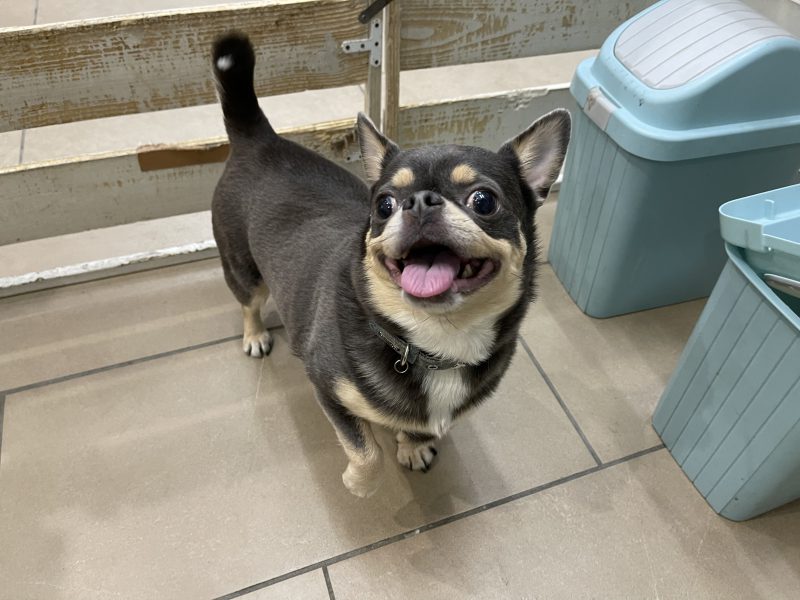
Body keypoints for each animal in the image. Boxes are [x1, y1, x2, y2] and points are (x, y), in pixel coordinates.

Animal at [211, 33, 570, 497]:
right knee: (249, 302)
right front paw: (360, 483)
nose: (420, 201)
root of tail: (259, 139)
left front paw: (413, 447)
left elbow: (418, 427)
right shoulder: (327, 387)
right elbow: (366, 449)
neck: (437, 345)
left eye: (484, 200)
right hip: (243, 268)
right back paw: (255, 335)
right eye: (384, 205)